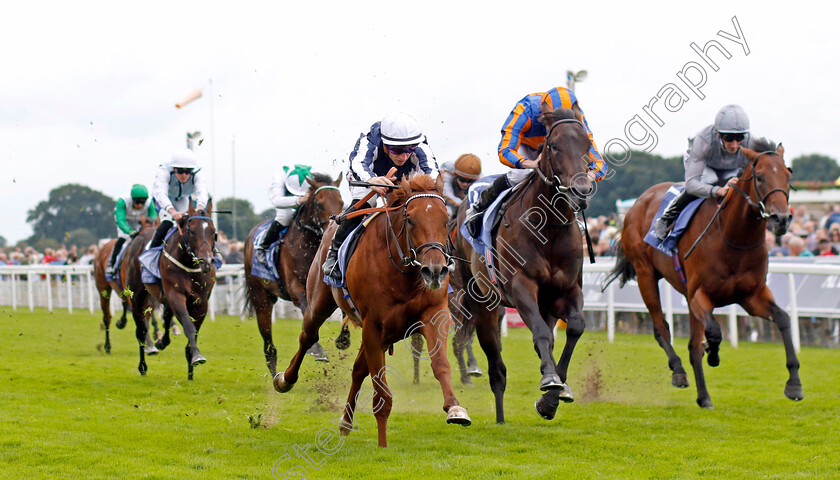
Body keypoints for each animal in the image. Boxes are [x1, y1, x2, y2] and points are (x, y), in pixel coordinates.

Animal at [125, 199, 218, 378]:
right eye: (191, 230)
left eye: (213, 232)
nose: (206, 261)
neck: (189, 264)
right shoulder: (175, 295)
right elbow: (188, 326)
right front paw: (197, 356)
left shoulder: (201, 302)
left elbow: (193, 329)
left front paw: (191, 369)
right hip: (138, 296)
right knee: (141, 330)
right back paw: (143, 366)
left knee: (166, 317)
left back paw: (162, 341)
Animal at [243, 172, 344, 378]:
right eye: (319, 204)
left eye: (342, 201)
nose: (333, 229)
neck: (307, 245)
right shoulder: (296, 289)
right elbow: (306, 310)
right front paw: (317, 350)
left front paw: (343, 339)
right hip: (261, 298)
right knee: (269, 345)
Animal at [276, 174, 472, 448]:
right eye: (410, 220)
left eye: (445, 220)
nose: (435, 271)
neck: (402, 273)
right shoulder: (373, 327)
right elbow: (381, 391)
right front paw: (382, 444)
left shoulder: (433, 314)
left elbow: (440, 364)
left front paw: (455, 408)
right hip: (318, 304)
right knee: (308, 337)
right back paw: (285, 379)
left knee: (359, 369)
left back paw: (345, 422)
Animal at [450, 106, 592, 424]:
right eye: (554, 146)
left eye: (587, 145)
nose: (580, 190)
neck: (548, 227)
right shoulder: (520, 286)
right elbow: (540, 333)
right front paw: (550, 381)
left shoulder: (568, 289)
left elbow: (574, 327)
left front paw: (552, 398)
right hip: (482, 300)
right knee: (495, 364)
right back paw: (500, 415)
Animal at [604, 139, 800, 408]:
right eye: (759, 177)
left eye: (788, 175)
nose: (781, 219)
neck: (733, 238)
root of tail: (638, 202)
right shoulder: (699, 294)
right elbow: (714, 332)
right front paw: (713, 355)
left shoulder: (751, 296)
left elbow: (783, 319)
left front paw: (794, 384)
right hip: (645, 274)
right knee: (661, 327)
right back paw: (679, 371)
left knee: (692, 344)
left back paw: (703, 396)